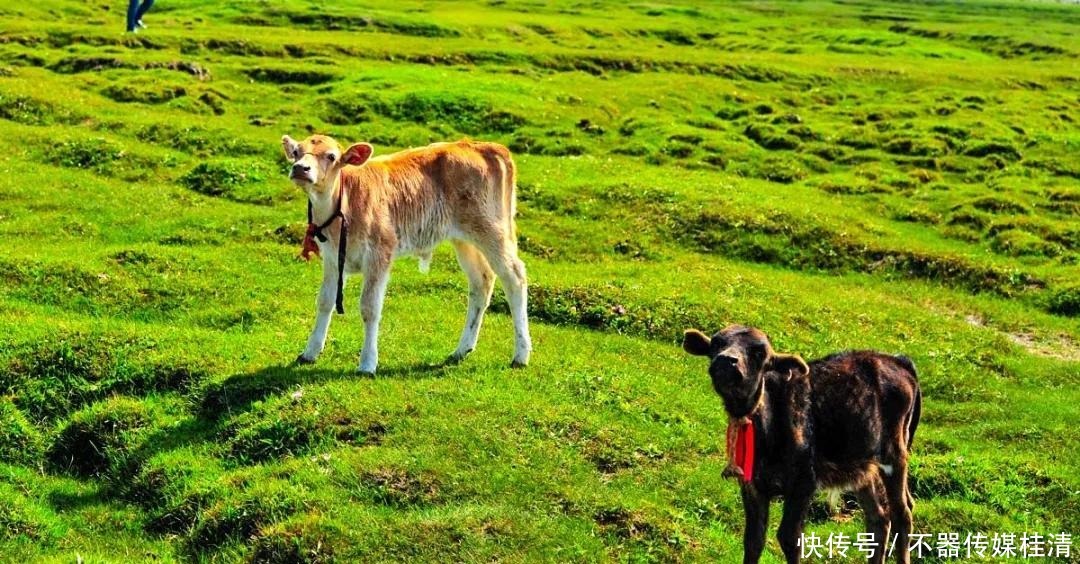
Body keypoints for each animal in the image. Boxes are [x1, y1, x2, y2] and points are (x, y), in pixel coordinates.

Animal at [280, 134, 529, 373]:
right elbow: (325, 301)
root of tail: (486, 146)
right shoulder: (332, 259)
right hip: (463, 238)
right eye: (297, 152)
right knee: (482, 281)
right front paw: (310, 352)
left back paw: (521, 355)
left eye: (331, 156)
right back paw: (462, 349)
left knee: (515, 277)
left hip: (492, 229)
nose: (301, 168)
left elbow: (370, 307)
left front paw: (368, 363)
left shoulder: (380, 253)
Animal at [682, 324, 920, 561]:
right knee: (878, 517)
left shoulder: (804, 482)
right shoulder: (752, 486)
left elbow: (790, 538)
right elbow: (753, 540)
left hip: (894, 453)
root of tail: (898, 360)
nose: (726, 360)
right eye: (716, 343)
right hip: (862, 466)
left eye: (760, 353)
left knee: (902, 512)